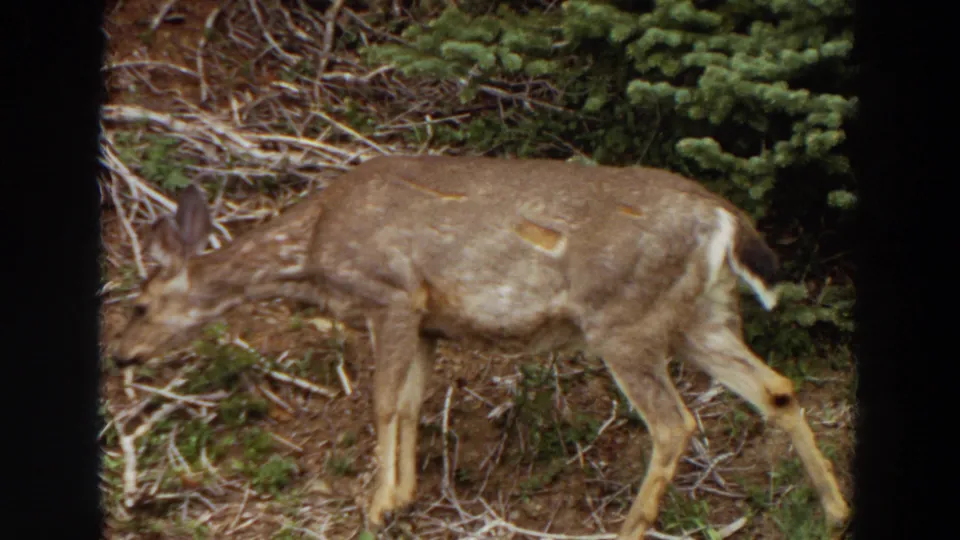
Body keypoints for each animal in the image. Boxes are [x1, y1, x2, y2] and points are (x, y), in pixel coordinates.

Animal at [109, 154, 850, 539]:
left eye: (139, 304)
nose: (120, 354)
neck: (312, 252)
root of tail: (725, 218)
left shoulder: (391, 294)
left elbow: (382, 403)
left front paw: (377, 505)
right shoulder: (430, 322)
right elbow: (410, 404)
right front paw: (402, 497)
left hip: (624, 317)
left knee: (675, 421)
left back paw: (630, 526)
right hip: (703, 316)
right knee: (777, 389)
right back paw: (835, 510)